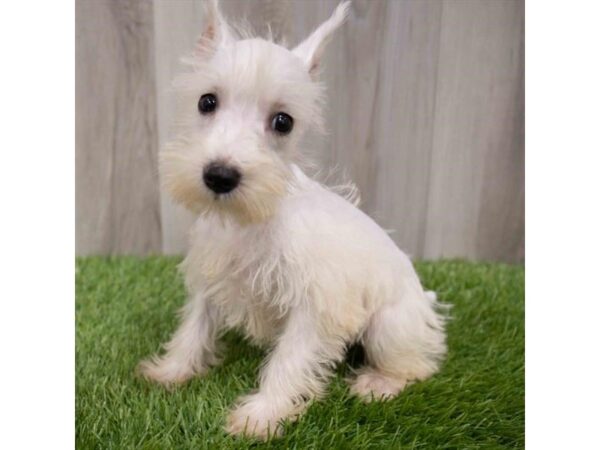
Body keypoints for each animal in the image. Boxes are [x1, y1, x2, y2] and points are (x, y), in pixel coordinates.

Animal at [137, 0, 446, 436]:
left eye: (283, 122)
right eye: (206, 102)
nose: (220, 175)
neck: (249, 220)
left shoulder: (316, 305)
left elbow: (289, 360)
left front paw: (261, 415)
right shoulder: (211, 277)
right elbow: (194, 326)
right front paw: (173, 370)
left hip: (390, 326)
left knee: (417, 366)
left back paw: (379, 383)